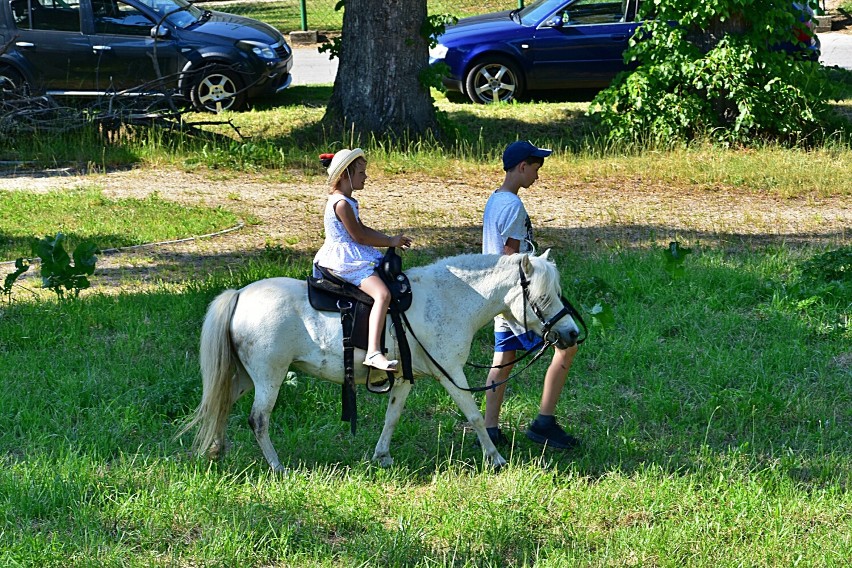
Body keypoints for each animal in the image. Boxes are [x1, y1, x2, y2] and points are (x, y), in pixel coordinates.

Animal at [178, 252, 580, 470]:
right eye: (543, 297)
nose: (572, 334)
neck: (448, 299)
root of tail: (240, 295)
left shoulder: (403, 377)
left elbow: (392, 416)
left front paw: (382, 456)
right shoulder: (450, 373)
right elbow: (475, 414)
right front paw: (495, 458)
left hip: (245, 376)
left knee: (222, 404)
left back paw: (217, 451)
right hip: (269, 377)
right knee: (258, 419)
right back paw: (276, 467)